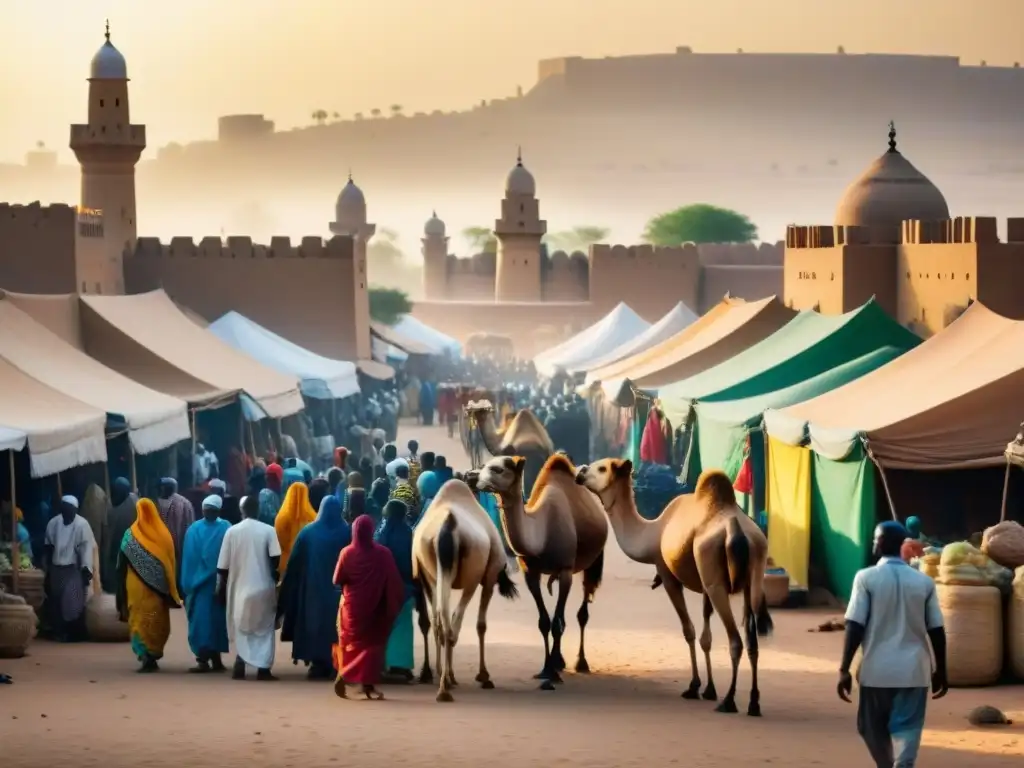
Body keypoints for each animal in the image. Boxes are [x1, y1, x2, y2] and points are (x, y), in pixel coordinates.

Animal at [409, 479, 520, 708]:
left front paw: (448, 674)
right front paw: (484, 675)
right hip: (471, 577)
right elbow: (481, 625)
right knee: (453, 621)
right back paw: (446, 686)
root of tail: (445, 528)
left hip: (429, 571)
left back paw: (442, 681)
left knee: (440, 620)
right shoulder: (489, 576)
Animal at [473, 454, 606, 688]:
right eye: (483, 465)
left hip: (592, 561)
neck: (542, 533)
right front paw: (546, 668)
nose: (471, 477)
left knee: (582, 611)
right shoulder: (530, 572)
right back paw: (560, 661)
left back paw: (581, 662)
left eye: (498, 469)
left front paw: (553, 672)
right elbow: (544, 622)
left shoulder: (565, 569)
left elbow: (557, 623)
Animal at [573, 460, 770, 720]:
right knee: (752, 641)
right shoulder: (704, 583)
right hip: (753, 574)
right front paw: (709, 689)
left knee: (735, 640)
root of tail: (737, 531)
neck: (652, 533)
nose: (581, 471)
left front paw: (695, 686)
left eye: (602, 468)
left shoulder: (668, 576)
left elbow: (689, 631)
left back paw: (728, 701)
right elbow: (706, 638)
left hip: (716, 579)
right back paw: (754, 703)